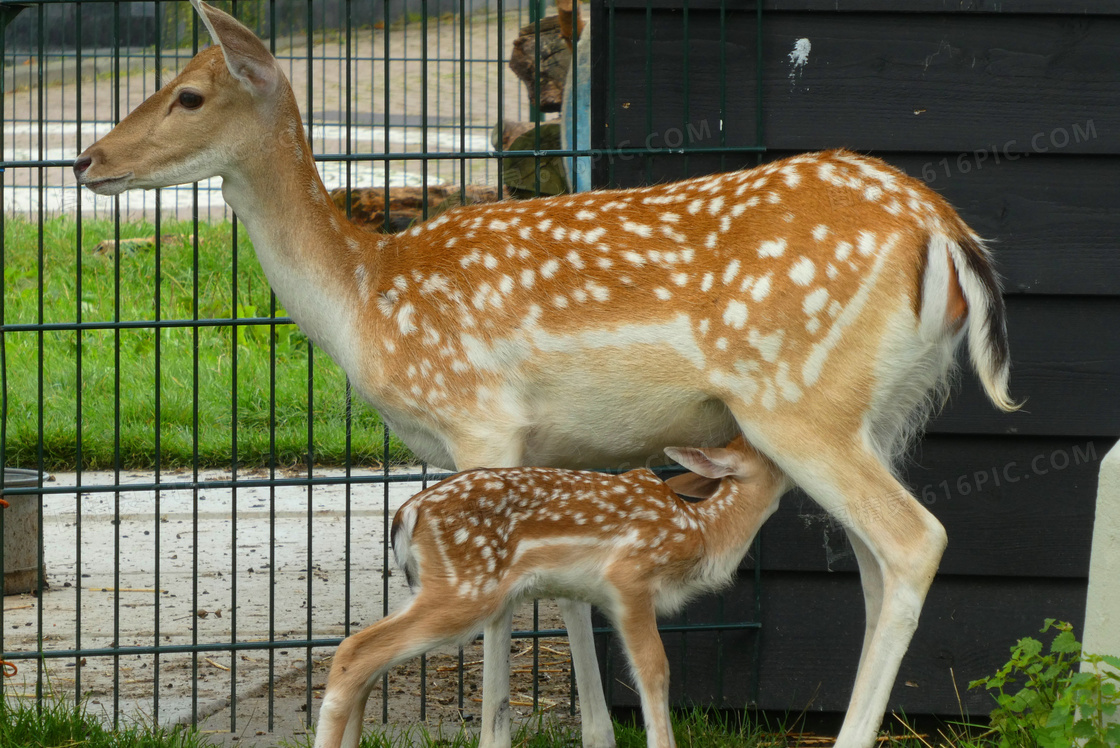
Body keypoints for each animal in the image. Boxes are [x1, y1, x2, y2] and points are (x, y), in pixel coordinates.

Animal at [315, 438, 788, 748]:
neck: (702, 533)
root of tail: (405, 515)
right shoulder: (629, 576)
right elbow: (655, 669)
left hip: (445, 587)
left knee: (368, 658)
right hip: (466, 588)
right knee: (355, 650)